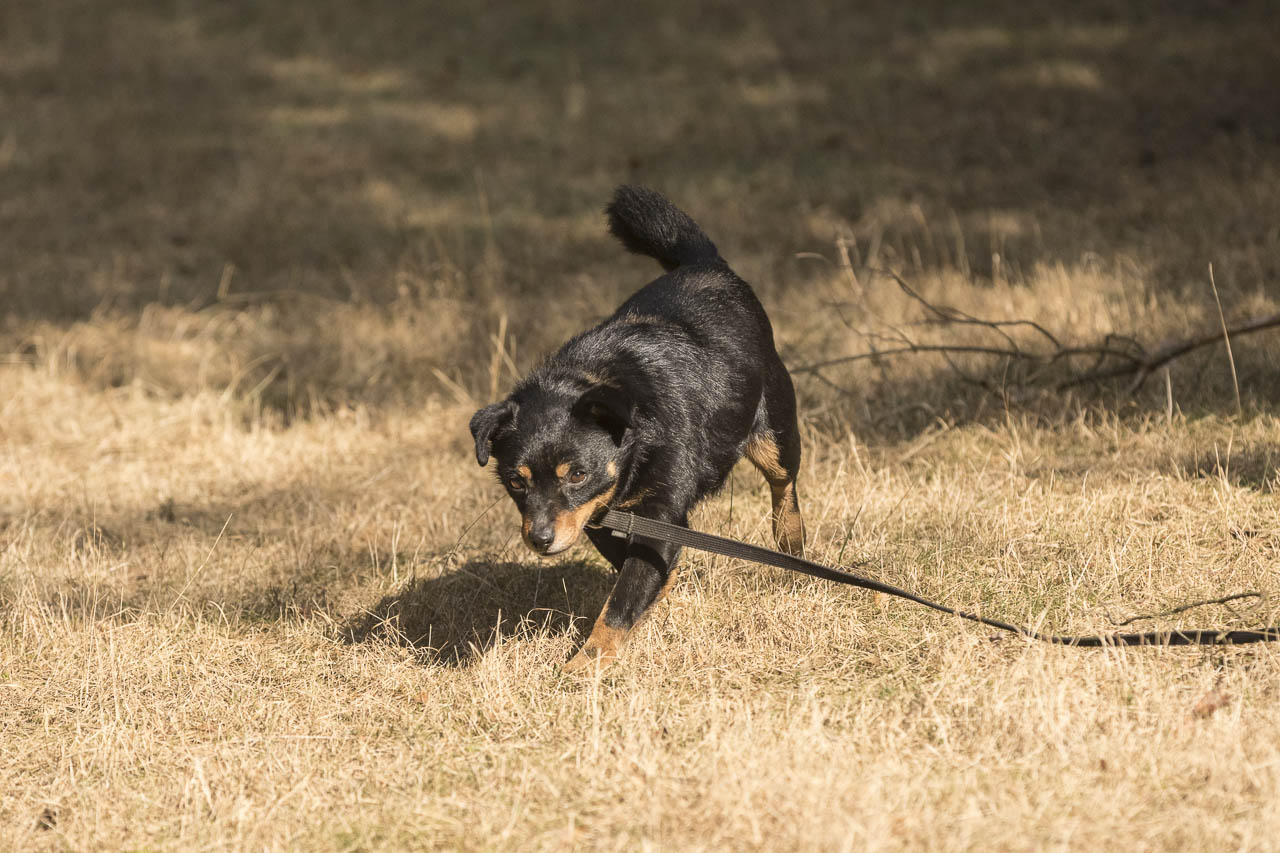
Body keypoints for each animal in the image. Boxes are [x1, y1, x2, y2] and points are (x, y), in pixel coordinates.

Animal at [470, 186, 805, 672]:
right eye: (516, 481)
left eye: (578, 474)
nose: (540, 539)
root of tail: (705, 263)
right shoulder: (598, 516)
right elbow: (627, 569)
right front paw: (661, 592)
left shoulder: (659, 515)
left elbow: (621, 599)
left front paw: (585, 665)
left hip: (773, 430)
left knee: (784, 485)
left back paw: (789, 540)